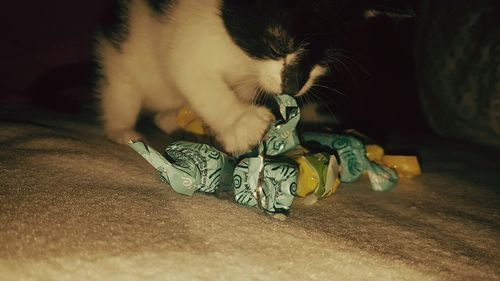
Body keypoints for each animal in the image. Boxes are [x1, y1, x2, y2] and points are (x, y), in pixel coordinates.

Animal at [94, 0, 414, 153]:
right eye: (277, 44)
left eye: (323, 61)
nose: (293, 86)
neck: (244, 59)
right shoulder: (187, 36)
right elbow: (193, 74)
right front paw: (241, 123)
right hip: (124, 52)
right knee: (121, 90)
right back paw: (122, 130)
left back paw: (172, 119)